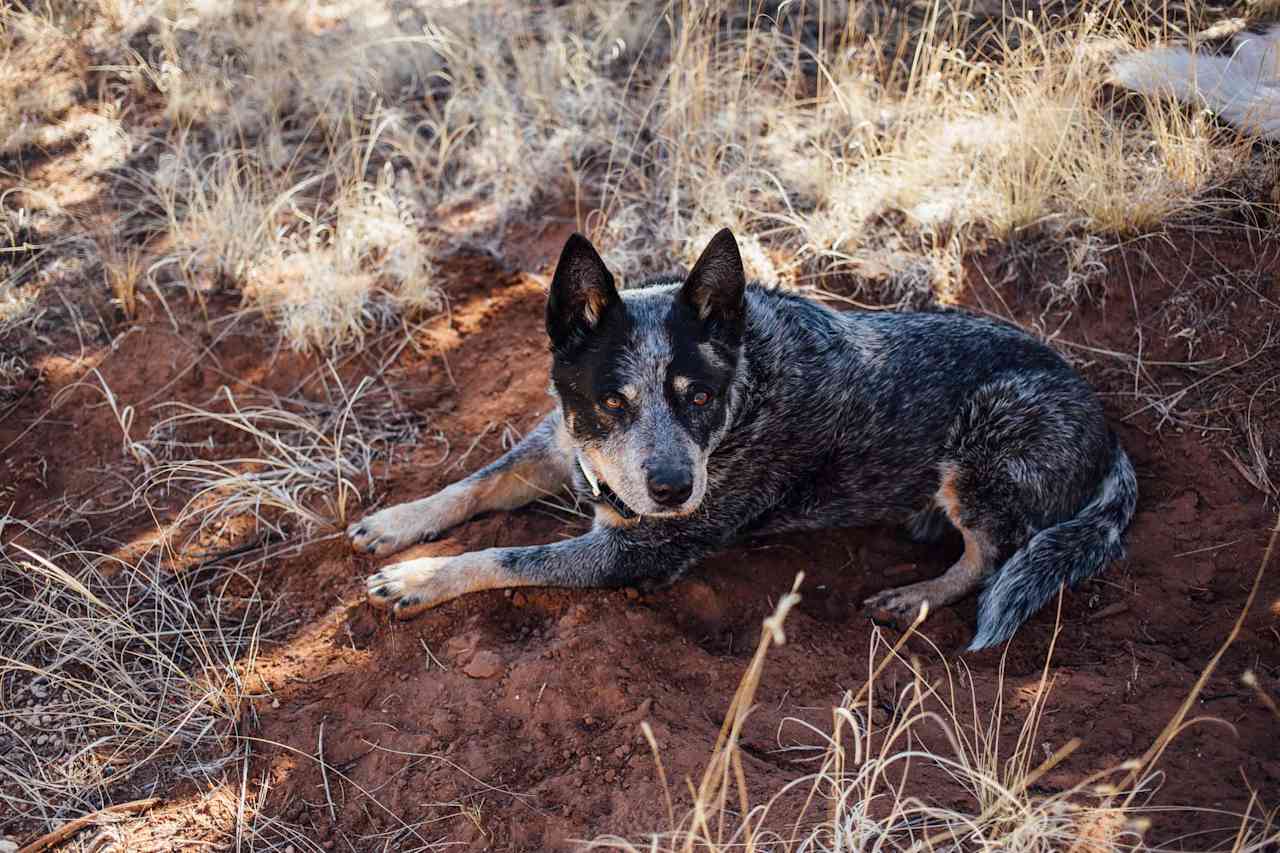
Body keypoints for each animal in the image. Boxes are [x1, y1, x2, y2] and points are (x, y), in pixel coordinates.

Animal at [345, 225, 1136, 645]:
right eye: (612, 401)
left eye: (699, 396)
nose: (674, 489)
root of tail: (1107, 428)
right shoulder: (557, 443)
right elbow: (476, 482)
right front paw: (397, 522)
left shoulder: (637, 552)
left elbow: (509, 555)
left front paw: (418, 577)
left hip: (984, 447)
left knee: (990, 554)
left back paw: (916, 594)